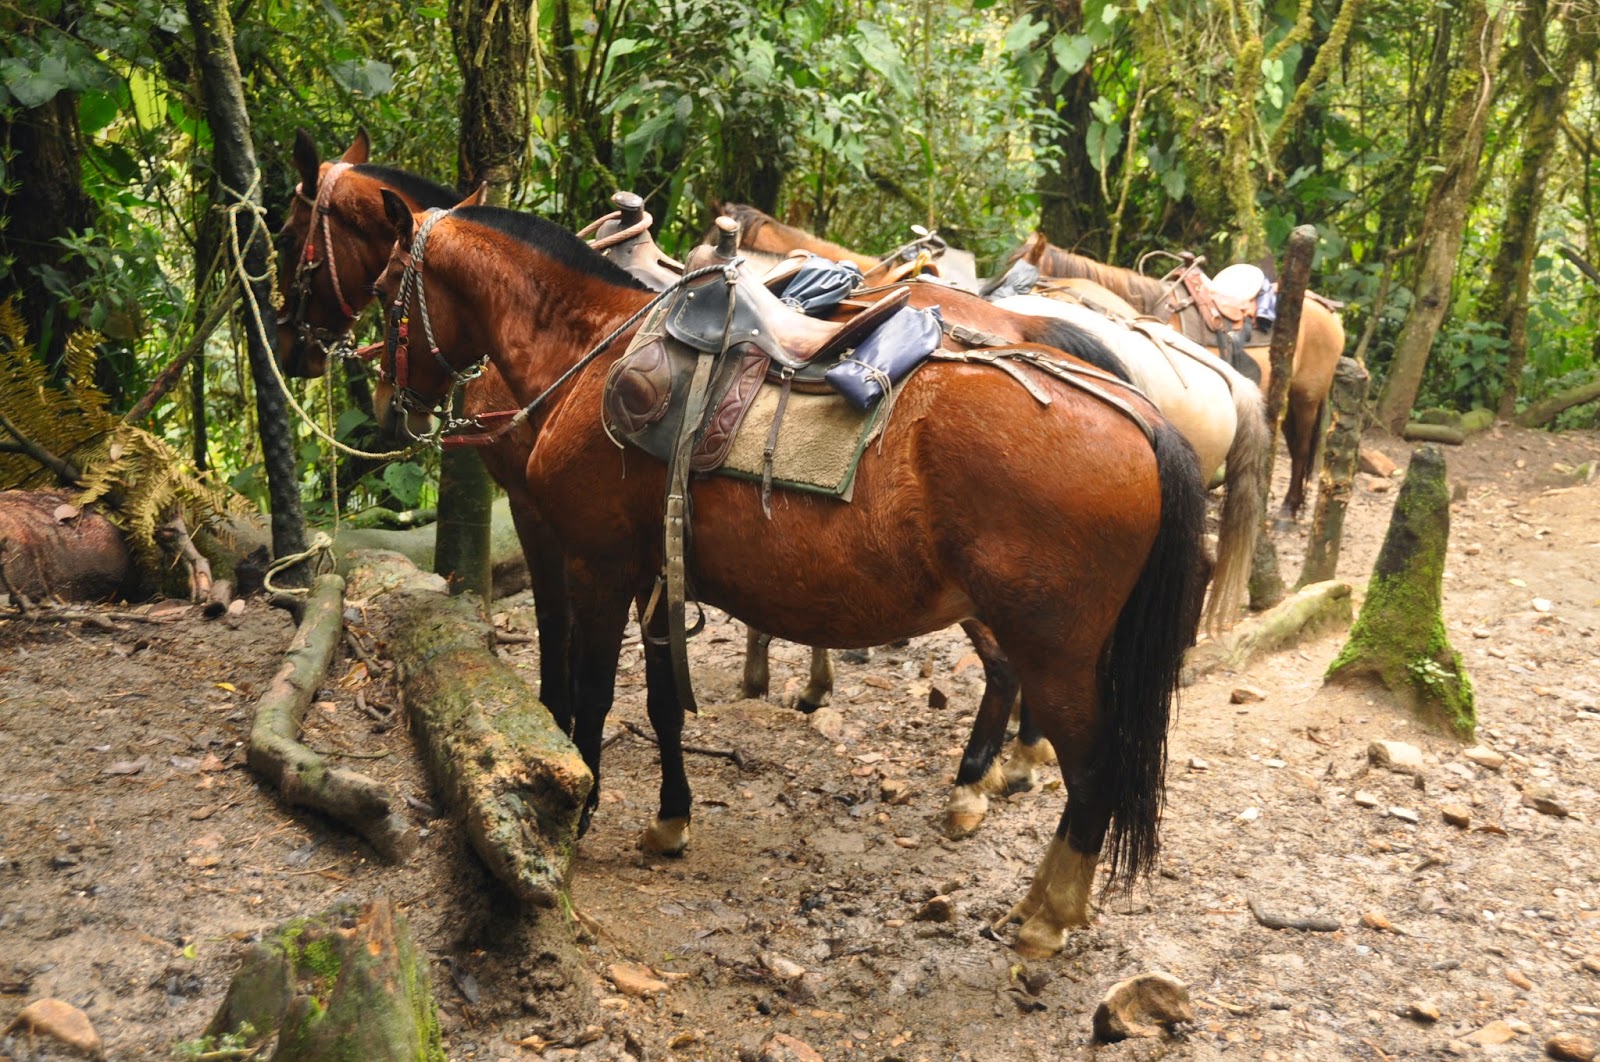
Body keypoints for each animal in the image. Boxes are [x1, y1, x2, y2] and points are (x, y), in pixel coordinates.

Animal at [371, 192, 1203, 953]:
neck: (593, 350)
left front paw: (583, 809)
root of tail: (1146, 420)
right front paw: (670, 819)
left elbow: (593, 693)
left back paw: (1043, 912)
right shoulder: (654, 570)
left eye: (385, 291)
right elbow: (664, 701)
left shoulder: (592, 562)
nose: (384, 403)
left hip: (1051, 648)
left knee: (1091, 767)